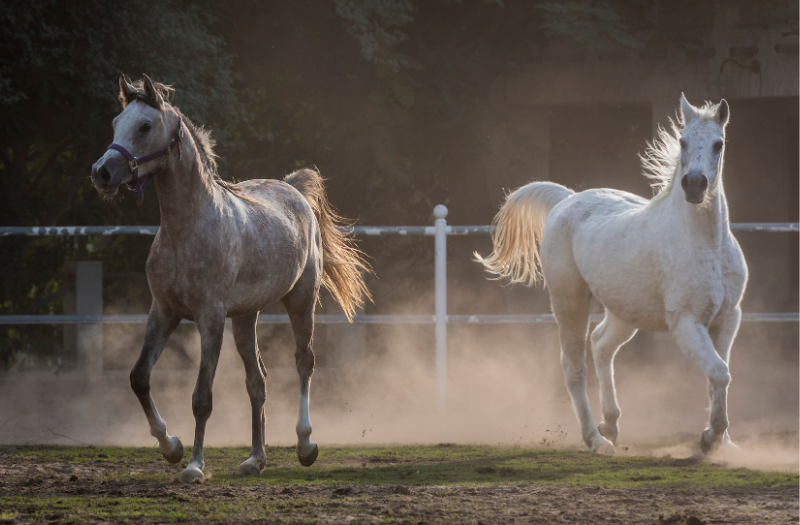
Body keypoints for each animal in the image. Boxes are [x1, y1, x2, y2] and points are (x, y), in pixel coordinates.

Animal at [478, 95, 748, 454]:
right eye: (682, 141)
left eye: (719, 144)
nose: (694, 185)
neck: (707, 245)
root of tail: (567, 199)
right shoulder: (686, 322)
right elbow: (719, 373)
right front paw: (709, 439)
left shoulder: (728, 318)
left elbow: (720, 375)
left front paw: (724, 444)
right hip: (569, 304)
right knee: (574, 367)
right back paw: (596, 439)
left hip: (623, 313)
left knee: (601, 344)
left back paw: (611, 424)